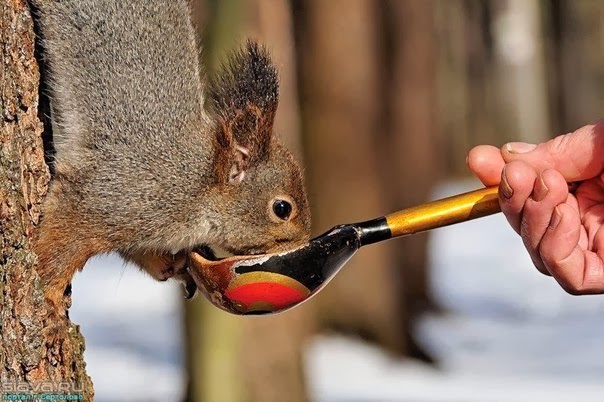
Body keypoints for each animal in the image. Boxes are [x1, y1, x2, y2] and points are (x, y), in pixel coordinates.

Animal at [28, 0, 312, 310]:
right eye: (282, 209)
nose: (303, 242)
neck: (198, 183)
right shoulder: (112, 193)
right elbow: (61, 241)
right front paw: (50, 301)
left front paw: (176, 265)